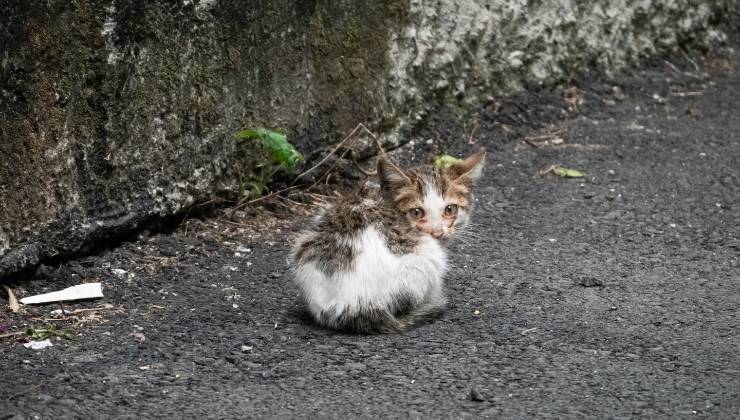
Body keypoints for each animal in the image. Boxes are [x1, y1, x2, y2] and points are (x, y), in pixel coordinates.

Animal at [290, 149, 486, 334]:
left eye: (450, 209)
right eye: (416, 212)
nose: (437, 233)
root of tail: (355, 305)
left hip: (305, 245)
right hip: (428, 262)